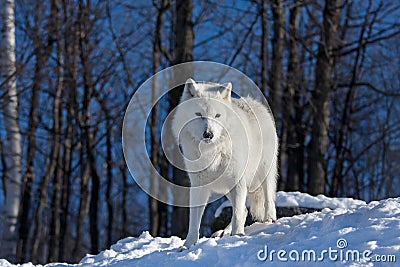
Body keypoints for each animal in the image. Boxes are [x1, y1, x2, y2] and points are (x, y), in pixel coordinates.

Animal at [172, 78, 278, 251]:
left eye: (217, 115)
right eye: (199, 114)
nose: (208, 134)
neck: (211, 151)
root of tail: (254, 102)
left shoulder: (238, 181)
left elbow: (237, 214)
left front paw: (238, 237)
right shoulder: (198, 185)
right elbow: (194, 222)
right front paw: (188, 246)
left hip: (263, 173)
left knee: (266, 199)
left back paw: (269, 219)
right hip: (227, 189)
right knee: (243, 209)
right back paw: (223, 232)